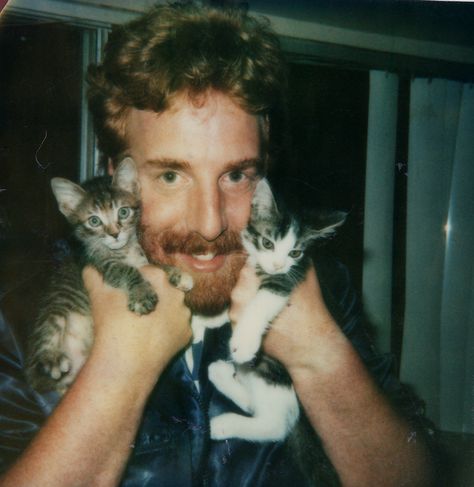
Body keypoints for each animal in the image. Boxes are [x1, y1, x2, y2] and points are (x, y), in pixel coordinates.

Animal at [25, 158, 193, 394]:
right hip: (54, 313)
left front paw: (178, 274)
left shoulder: (143, 259)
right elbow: (128, 270)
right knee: (44, 344)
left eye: (123, 212)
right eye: (94, 221)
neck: (125, 250)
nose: (115, 234)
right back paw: (53, 360)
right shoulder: (100, 265)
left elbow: (155, 264)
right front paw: (141, 295)